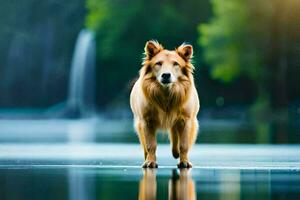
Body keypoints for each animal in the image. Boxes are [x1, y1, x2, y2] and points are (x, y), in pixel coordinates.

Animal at [131, 39, 199, 168]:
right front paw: (150, 161)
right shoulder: (146, 122)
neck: (166, 94)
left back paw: (176, 153)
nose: (166, 75)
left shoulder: (186, 121)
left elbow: (184, 144)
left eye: (176, 64)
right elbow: (151, 145)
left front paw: (184, 161)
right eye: (158, 63)